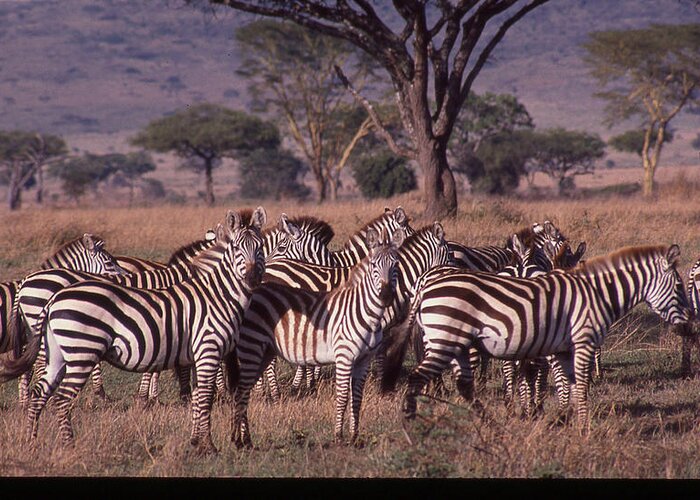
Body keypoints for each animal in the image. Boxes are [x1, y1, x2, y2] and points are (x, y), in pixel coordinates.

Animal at [0, 207, 266, 454]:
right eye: (237, 248)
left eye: (260, 248)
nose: (253, 279)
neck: (218, 294)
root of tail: (53, 299)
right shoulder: (208, 349)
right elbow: (205, 398)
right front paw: (207, 445)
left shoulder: (195, 350)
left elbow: (197, 394)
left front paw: (195, 438)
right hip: (82, 351)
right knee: (61, 399)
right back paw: (69, 445)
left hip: (59, 353)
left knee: (41, 393)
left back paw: (31, 441)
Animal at [230, 227, 404, 446]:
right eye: (373, 265)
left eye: (395, 265)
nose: (386, 296)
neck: (363, 310)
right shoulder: (344, 356)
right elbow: (343, 397)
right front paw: (338, 437)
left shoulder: (363, 360)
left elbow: (357, 398)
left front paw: (354, 437)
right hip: (251, 347)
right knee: (241, 392)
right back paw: (240, 439)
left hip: (264, 351)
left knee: (243, 393)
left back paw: (246, 441)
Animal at [386, 244, 692, 432]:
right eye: (679, 286)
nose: (690, 325)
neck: (596, 293)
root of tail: (425, 286)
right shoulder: (582, 341)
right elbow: (580, 385)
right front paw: (582, 428)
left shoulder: (564, 348)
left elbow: (569, 386)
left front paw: (563, 419)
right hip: (446, 340)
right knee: (417, 377)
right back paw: (409, 423)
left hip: (457, 343)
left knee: (464, 385)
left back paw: (491, 425)